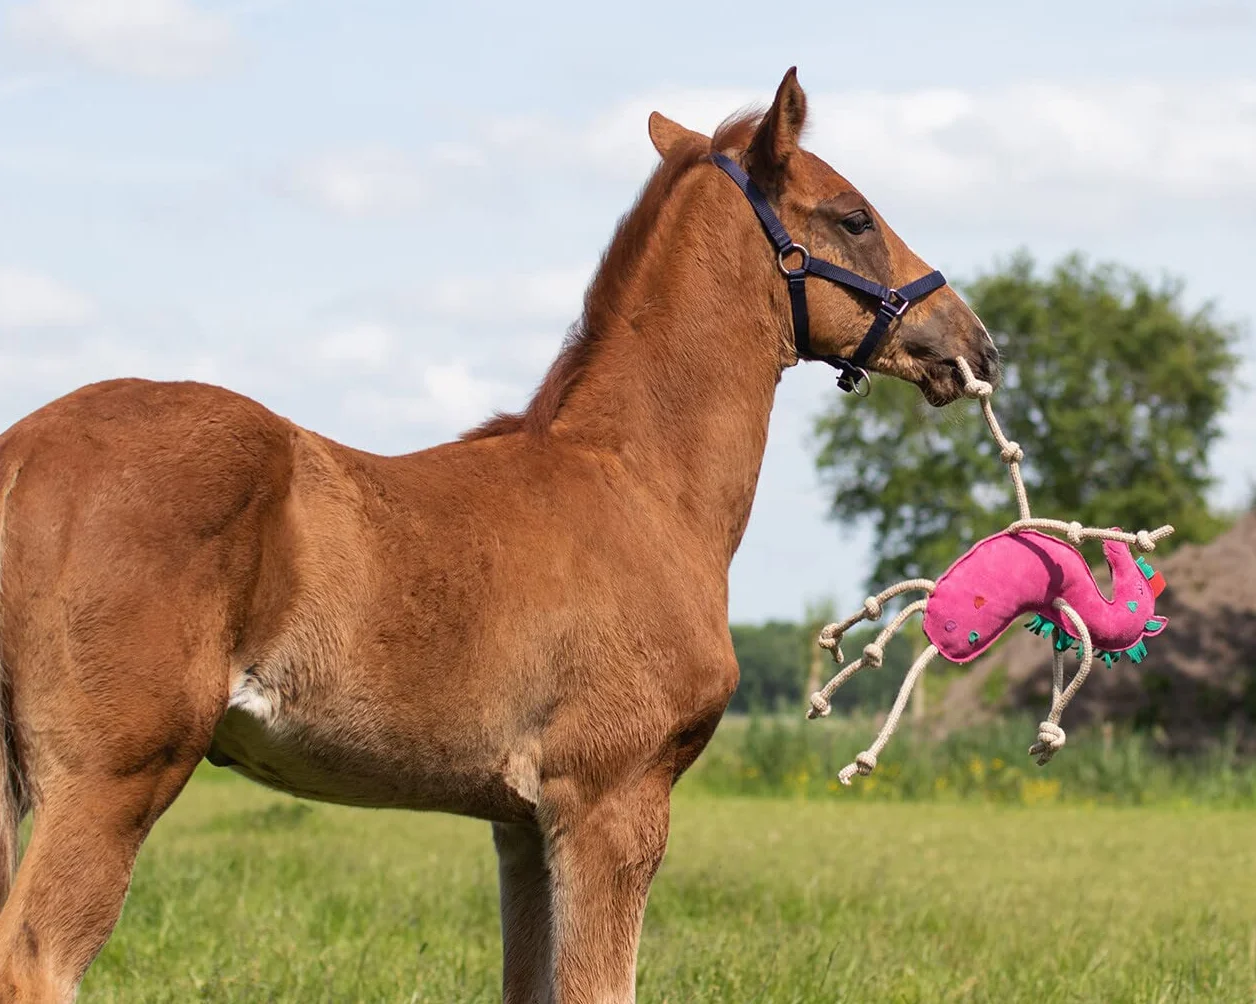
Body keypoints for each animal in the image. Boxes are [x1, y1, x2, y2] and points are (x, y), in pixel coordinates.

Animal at [0, 68, 997, 1002]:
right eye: (855, 217)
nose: (973, 343)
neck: (639, 486)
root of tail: (19, 450)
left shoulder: (521, 824)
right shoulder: (612, 801)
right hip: (109, 780)